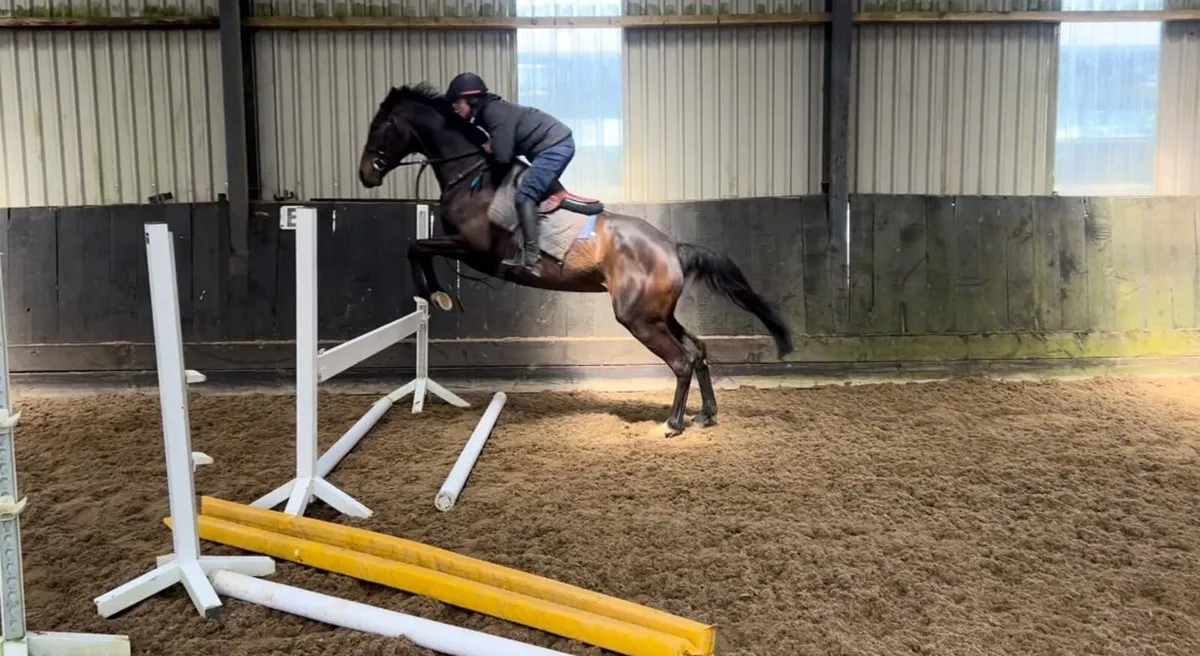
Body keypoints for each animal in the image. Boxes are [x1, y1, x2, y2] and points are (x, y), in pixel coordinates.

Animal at [357, 83, 793, 437]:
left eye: (379, 127)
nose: (365, 175)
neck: (472, 175)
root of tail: (672, 248)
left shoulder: (474, 249)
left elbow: (417, 247)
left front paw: (436, 294)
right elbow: (417, 246)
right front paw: (435, 295)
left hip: (638, 319)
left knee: (683, 361)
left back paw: (673, 424)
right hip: (659, 315)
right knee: (698, 350)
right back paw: (706, 414)